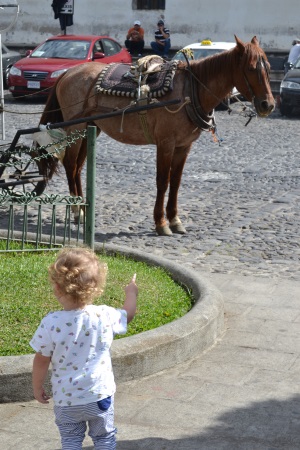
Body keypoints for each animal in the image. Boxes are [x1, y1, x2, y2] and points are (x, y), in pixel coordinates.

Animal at [37, 35, 274, 236]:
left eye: (269, 67)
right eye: (251, 68)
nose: (268, 105)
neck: (188, 92)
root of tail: (68, 73)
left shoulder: (183, 146)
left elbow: (175, 182)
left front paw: (175, 220)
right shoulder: (166, 143)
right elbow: (163, 181)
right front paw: (161, 223)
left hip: (89, 129)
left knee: (77, 167)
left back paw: (83, 210)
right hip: (75, 129)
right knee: (70, 164)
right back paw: (77, 209)